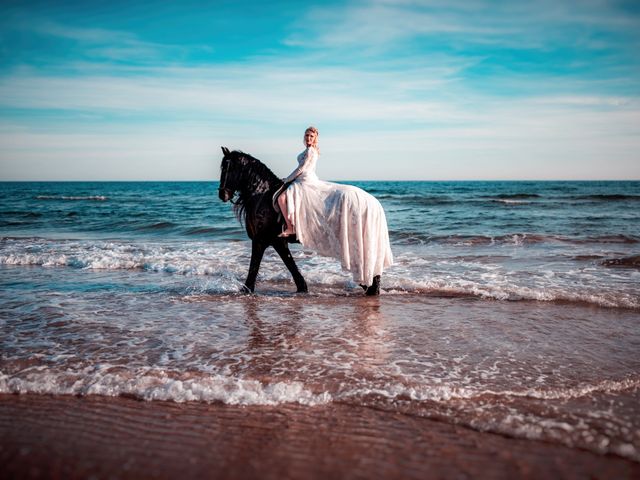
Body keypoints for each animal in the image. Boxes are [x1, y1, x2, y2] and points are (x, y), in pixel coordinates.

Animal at [219, 147, 380, 296]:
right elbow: (282, 265)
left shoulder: (268, 240)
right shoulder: (269, 241)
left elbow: (263, 266)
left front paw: (246, 290)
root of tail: (372, 202)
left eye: (227, 168)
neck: (262, 195)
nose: (222, 195)